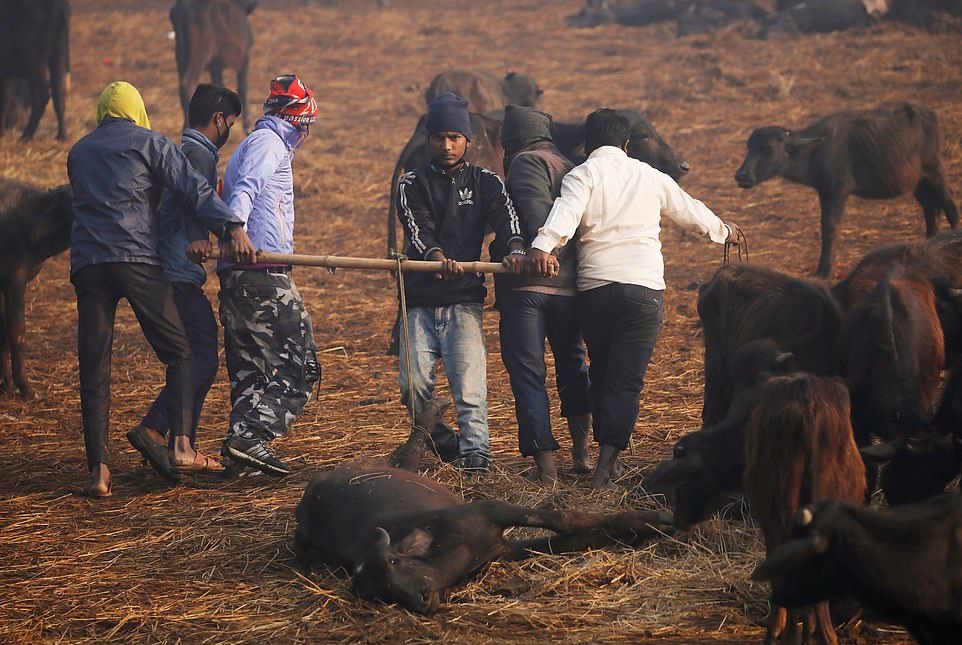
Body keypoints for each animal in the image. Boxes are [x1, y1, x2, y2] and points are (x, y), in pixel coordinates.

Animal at [0, 0, 69, 140]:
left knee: (42, 95)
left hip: (35, 64)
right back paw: (61, 136)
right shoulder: (6, 75)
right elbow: (4, 99)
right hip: (57, 55)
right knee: (59, 92)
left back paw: (26, 136)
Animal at [736, 102, 952, 278]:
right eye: (749, 146)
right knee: (931, 211)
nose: (742, 175)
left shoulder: (838, 189)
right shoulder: (824, 190)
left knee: (950, 206)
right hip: (919, 183)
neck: (817, 150)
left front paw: (825, 270)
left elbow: (831, 226)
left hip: (934, 171)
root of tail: (931, 115)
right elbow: (825, 225)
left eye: (768, 148)